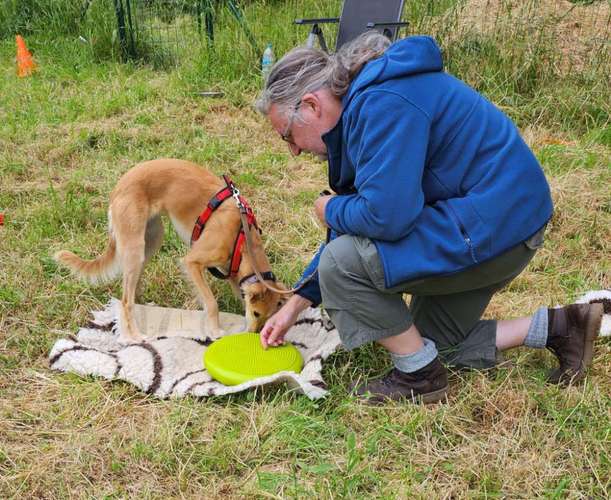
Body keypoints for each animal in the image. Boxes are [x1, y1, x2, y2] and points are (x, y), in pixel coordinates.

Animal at [56, 159, 288, 344]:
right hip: (135, 248)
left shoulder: (232, 273)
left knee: (131, 290)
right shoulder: (192, 262)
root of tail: (118, 188)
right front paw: (215, 331)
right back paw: (134, 336)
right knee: (125, 301)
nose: (252, 335)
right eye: (256, 313)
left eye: (266, 317)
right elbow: (211, 303)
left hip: (151, 239)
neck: (243, 239)